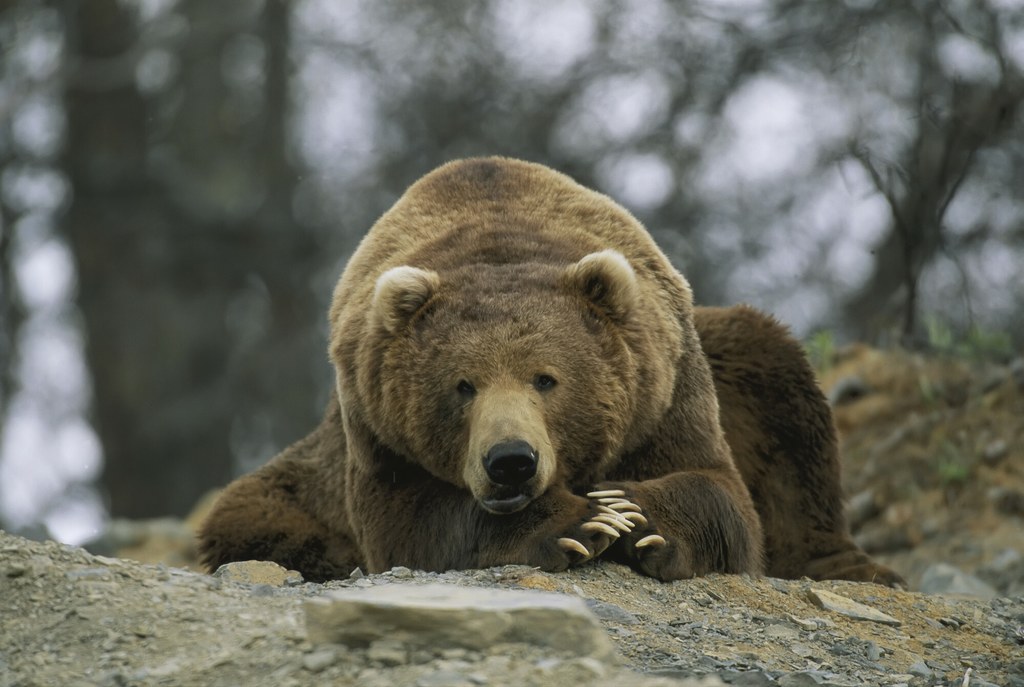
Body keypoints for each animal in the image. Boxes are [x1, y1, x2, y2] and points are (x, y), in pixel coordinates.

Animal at [197, 158, 905, 589]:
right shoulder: (374, 424)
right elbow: (410, 522)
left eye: (546, 378)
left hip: (736, 356)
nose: (511, 460)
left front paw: (636, 517)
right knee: (251, 515)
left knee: (783, 403)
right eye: (462, 385)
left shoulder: (665, 388)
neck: (497, 234)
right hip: (300, 484)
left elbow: (720, 492)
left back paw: (854, 566)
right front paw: (579, 522)